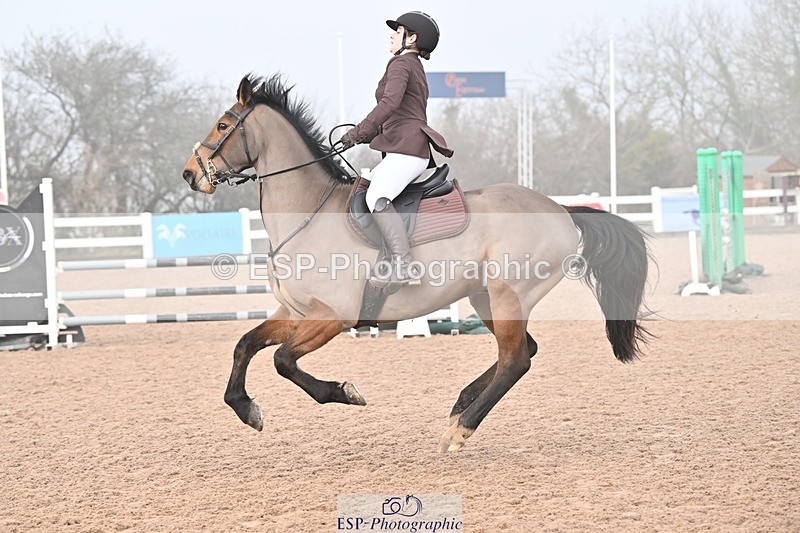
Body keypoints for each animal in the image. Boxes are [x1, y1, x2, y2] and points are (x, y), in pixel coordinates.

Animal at [182, 74, 653, 453]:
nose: (189, 174)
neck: (308, 212)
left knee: (516, 360)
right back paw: (461, 405)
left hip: (508, 294)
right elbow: (246, 344)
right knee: (522, 351)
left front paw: (345, 392)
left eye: (222, 125)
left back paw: (460, 429)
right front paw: (247, 409)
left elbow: (282, 360)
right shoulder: (296, 313)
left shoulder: (332, 316)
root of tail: (561, 210)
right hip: (485, 297)